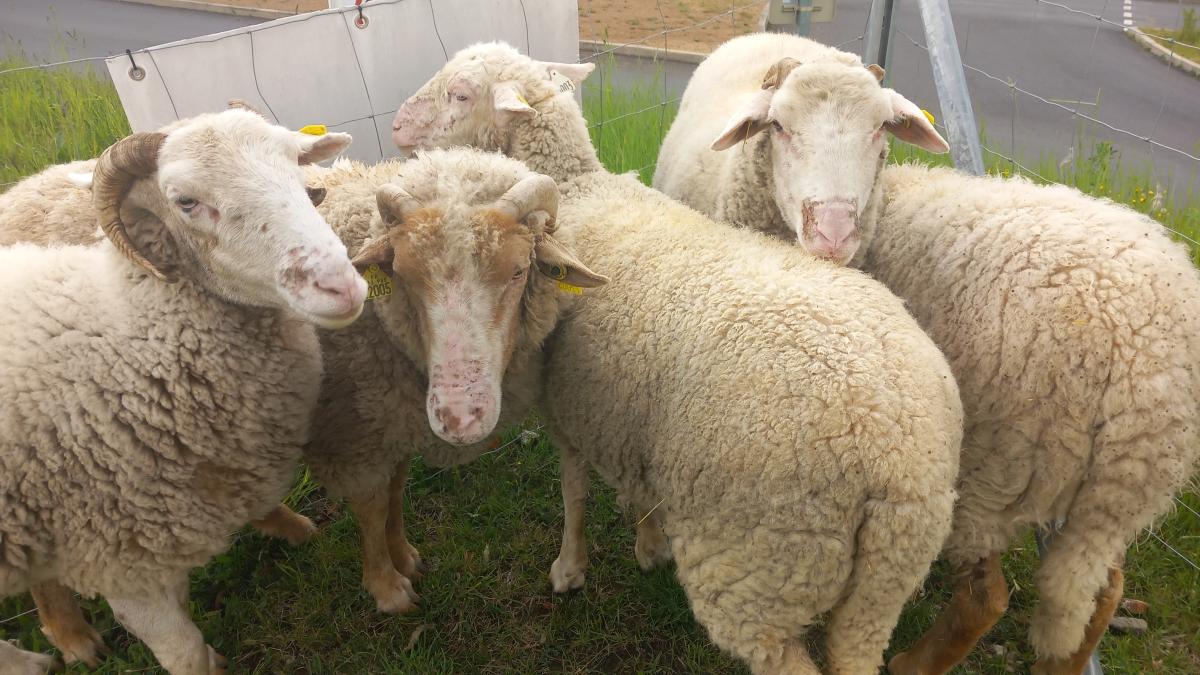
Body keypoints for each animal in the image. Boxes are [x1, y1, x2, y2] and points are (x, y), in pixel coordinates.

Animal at [0, 109, 366, 675]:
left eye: (295, 164)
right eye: (186, 201)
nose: (339, 285)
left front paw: (299, 530)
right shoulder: (117, 559)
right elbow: (185, 653)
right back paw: (54, 650)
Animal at [298, 147, 607, 614]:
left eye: (519, 271)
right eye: (401, 274)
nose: (460, 419)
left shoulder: (393, 420)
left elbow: (395, 488)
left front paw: (404, 556)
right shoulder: (353, 433)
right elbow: (371, 505)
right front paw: (387, 587)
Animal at [392, 42, 965, 675]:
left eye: (461, 93)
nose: (396, 127)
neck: (581, 188)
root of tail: (892, 455)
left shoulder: (569, 404)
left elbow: (573, 489)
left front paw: (569, 569)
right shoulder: (626, 417)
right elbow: (637, 489)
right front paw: (649, 547)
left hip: (763, 561)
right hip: (884, 580)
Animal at [653, 32, 1200, 674]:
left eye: (879, 131)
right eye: (780, 126)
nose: (834, 231)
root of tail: (1144, 366)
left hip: (1001, 469)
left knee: (988, 596)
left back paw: (914, 662)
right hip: (1118, 495)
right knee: (1099, 591)